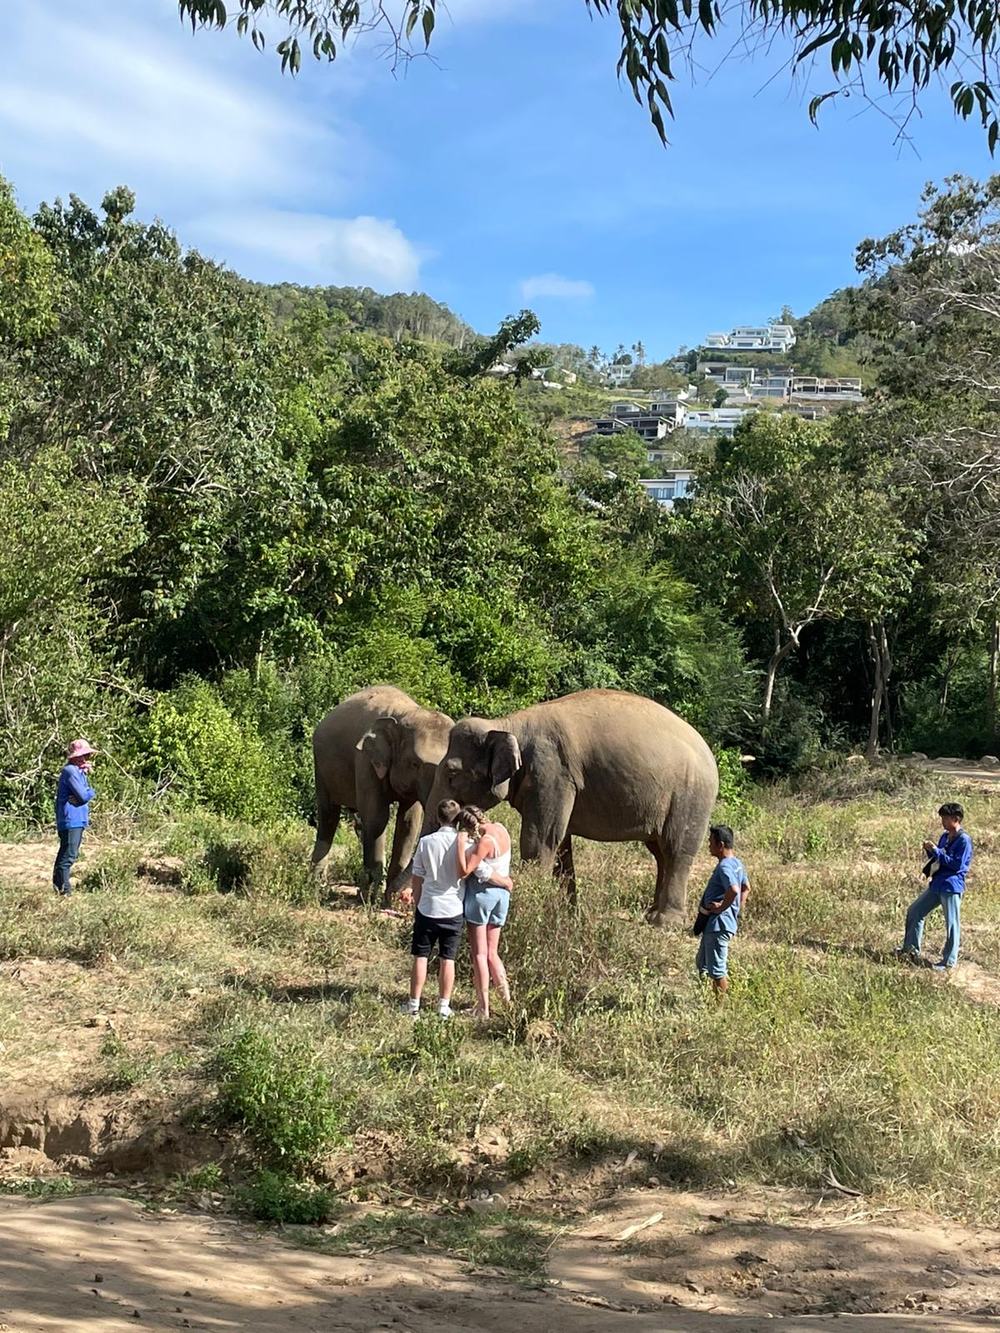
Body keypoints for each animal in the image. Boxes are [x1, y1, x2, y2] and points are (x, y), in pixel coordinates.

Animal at [311, 686, 454, 903]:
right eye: (414, 764)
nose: (402, 896)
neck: (404, 714)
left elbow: (409, 823)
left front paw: (388, 899)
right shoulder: (365, 760)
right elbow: (377, 817)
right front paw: (369, 899)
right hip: (321, 767)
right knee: (328, 815)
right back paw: (315, 887)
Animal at [423, 689, 718, 926]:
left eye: (452, 774)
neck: (508, 724)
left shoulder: (552, 771)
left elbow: (540, 838)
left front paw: (529, 906)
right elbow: (560, 841)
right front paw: (565, 911)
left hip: (691, 797)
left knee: (677, 850)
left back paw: (665, 922)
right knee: (660, 853)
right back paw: (651, 913)